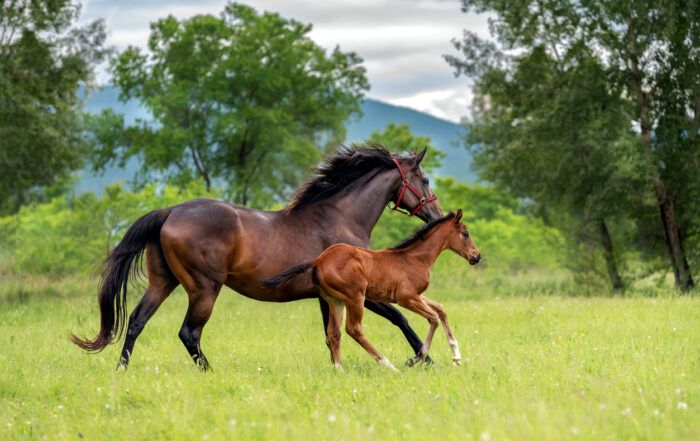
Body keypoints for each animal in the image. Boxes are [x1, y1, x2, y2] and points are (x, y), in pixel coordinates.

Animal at [70, 143, 443, 370]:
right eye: (424, 179)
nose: (437, 215)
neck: (339, 217)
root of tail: (171, 212)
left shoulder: (327, 298)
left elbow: (331, 336)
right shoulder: (359, 293)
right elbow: (400, 317)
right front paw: (425, 360)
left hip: (163, 282)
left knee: (136, 321)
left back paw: (121, 370)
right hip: (204, 289)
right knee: (189, 332)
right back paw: (210, 372)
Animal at [262, 210, 480, 370]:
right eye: (466, 233)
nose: (476, 256)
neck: (415, 258)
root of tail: (318, 259)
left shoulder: (416, 295)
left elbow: (441, 309)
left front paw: (456, 355)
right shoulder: (406, 298)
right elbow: (433, 318)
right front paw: (415, 359)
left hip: (335, 301)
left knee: (334, 332)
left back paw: (340, 370)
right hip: (355, 298)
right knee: (354, 329)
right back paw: (388, 365)